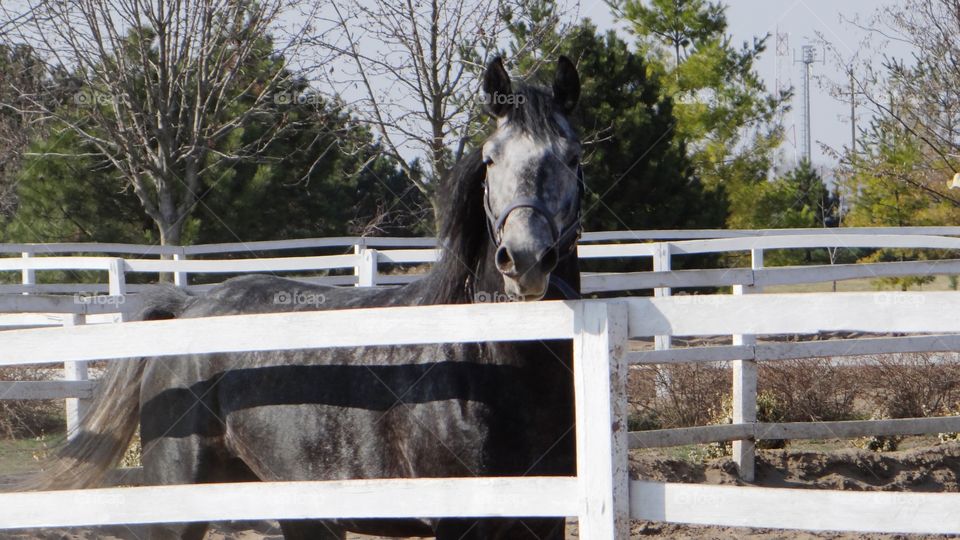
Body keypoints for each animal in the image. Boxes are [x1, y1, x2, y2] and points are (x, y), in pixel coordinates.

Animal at [24, 57, 584, 536]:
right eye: (491, 159)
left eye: (573, 157)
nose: (525, 258)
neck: (482, 360)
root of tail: (190, 308)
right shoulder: (460, 522)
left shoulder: (546, 517)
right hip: (180, 502)